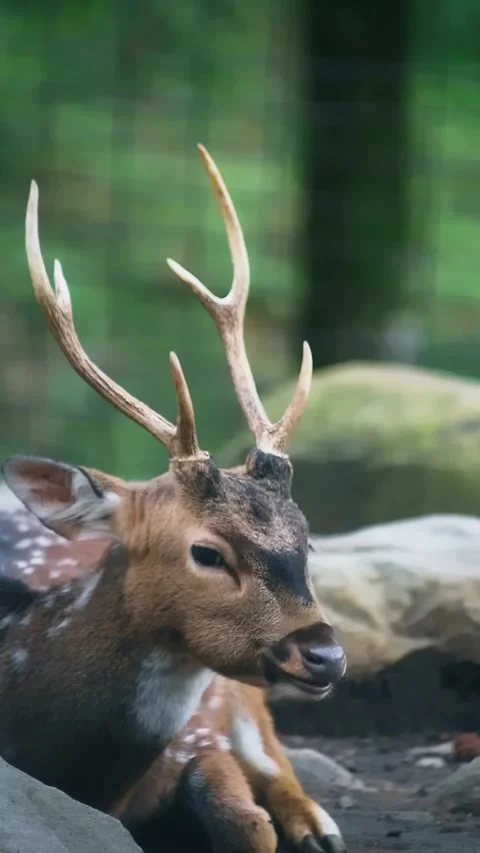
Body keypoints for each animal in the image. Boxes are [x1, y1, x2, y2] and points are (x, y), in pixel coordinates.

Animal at [0, 146, 348, 853]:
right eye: (205, 553)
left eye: (309, 540)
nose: (326, 654)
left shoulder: (205, 733)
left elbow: (249, 823)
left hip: (244, 705)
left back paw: (320, 828)